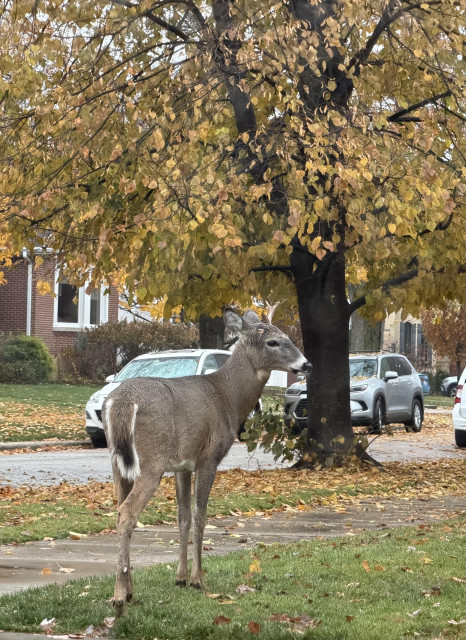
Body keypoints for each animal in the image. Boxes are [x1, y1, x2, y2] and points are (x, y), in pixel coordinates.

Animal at [102, 307, 311, 615]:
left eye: (287, 336)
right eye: (273, 342)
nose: (306, 364)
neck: (228, 398)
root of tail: (122, 401)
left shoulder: (182, 465)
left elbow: (183, 517)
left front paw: (180, 577)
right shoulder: (208, 456)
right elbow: (201, 517)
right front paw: (198, 579)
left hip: (118, 463)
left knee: (119, 509)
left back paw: (128, 591)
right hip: (151, 461)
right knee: (128, 512)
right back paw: (118, 597)